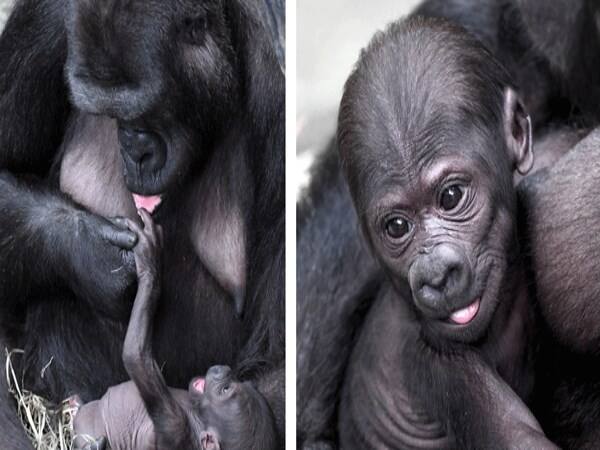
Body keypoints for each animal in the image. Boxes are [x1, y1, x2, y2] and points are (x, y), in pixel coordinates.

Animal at [72, 211, 276, 450]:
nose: (224, 370)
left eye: (225, 390)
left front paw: (149, 259)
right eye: (239, 382)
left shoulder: (174, 426)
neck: (195, 418)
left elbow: (136, 357)